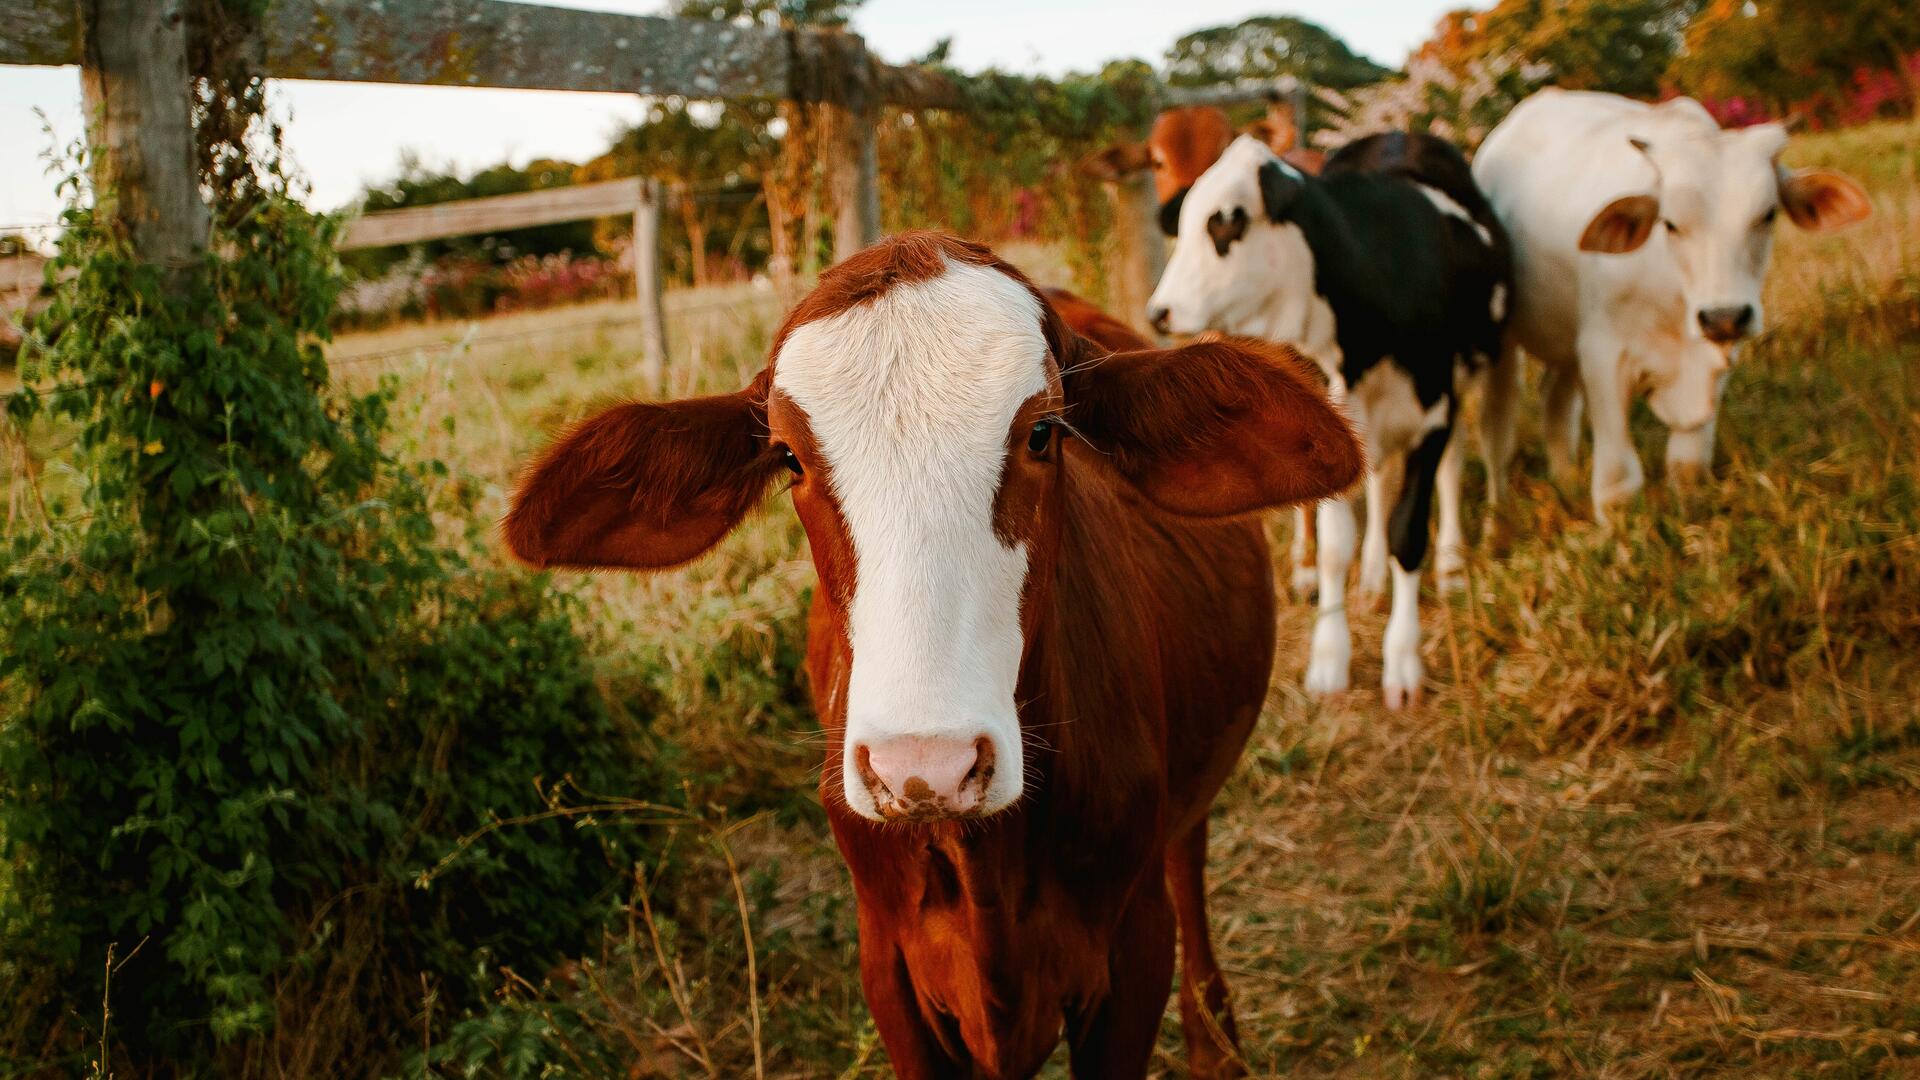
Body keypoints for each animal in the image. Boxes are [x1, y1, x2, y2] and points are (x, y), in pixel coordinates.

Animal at [503, 231, 1359, 1068]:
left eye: (1043, 432)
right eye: (790, 457)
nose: (926, 767)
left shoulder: (1132, 950)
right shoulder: (889, 970)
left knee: (1190, 857)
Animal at [1144, 130, 1505, 703]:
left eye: (1227, 222)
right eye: (1184, 222)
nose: (1160, 312)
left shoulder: (1435, 414)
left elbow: (1409, 532)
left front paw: (1403, 661)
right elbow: (1337, 546)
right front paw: (1330, 658)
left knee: (1450, 469)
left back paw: (1448, 564)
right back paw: (1373, 577)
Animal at [1466, 88, 1873, 518]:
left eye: (1768, 214)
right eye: (1671, 223)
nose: (1724, 317)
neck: (1674, 294)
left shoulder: (1715, 358)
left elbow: (1688, 465)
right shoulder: (1602, 355)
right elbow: (1618, 483)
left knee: (1556, 405)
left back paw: (1565, 483)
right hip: (1504, 343)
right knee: (1497, 428)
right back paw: (1497, 515)